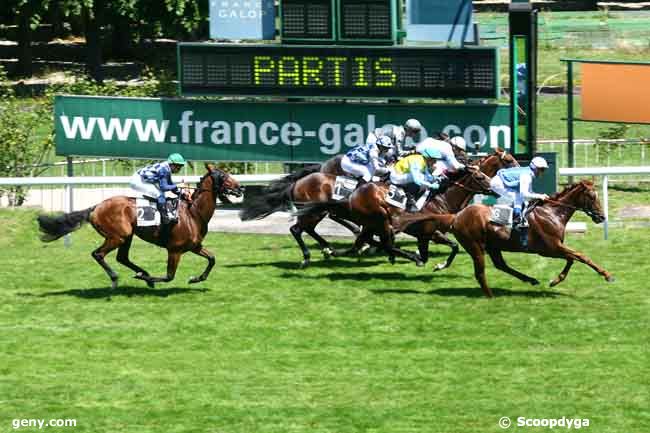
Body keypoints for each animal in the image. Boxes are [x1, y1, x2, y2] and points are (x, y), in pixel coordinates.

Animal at [38, 164, 242, 288]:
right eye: (223, 176)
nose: (240, 188)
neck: (193, 213)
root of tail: (95, 207)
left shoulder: (194, 246)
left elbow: (212, 259)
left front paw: (196, 279)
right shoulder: (174, 250)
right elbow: (169, 276)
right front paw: (146, 279)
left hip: (127, 236)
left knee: (122, 258)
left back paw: (140, 272)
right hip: (118, 235)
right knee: (98, 254)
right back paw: (117, 278)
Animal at [394, 180, 612, 296]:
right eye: (592, 196)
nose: (601, 217)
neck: (552, 213)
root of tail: (456, 216)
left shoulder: (555, 248)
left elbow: (572, 259)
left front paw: (555, 280)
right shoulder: (550, 248)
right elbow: (580, 256)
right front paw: (606, 274)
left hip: (493, 246)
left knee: (501, 265)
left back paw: (529, 280)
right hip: (475, 246)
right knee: (480, 272)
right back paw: (490, 295)